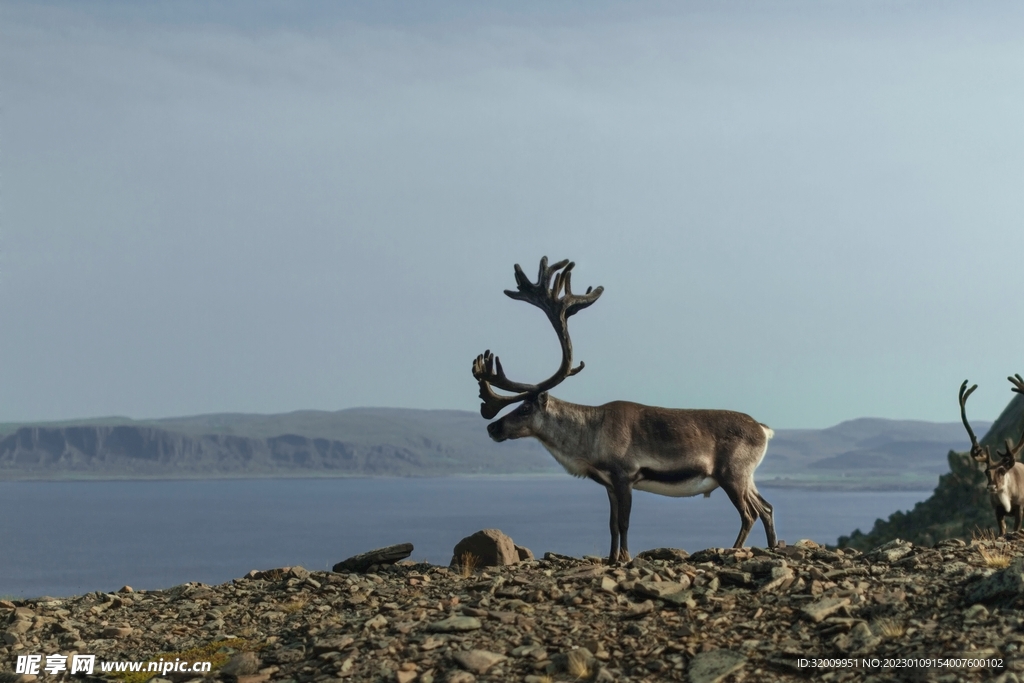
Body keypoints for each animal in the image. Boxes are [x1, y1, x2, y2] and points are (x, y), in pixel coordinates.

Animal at [472, 256, 777, 562]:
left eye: (524, 408)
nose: (492, 427)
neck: (589, 438)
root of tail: (764, 429)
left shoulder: (625, 476)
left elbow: (624, 522)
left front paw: (625, 557)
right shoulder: (608, 484)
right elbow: (611, 524)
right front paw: (610, 558)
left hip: (732, 474)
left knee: (749, 513)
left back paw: (734, 549)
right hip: (747, 477)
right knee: (767, 507)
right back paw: (773, 546)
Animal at [959, 376, 1024, 535]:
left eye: (1002, 470)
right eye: (986, 472)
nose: (991, 487)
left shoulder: (1020, 508)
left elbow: (1016, 528)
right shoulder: (997, 510)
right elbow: (1001, 532)